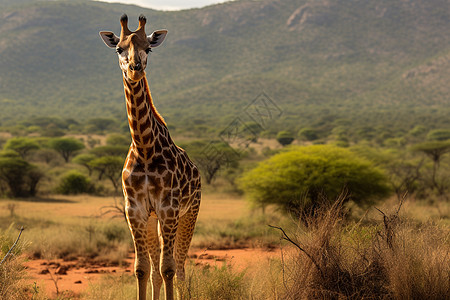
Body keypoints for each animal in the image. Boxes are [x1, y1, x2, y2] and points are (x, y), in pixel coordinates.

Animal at [101, 14, 201, 300]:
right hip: (153, 219)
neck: (144, 148)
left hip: (189, 213)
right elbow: (142, 268)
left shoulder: (169, 208)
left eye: (149, 48)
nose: (135, 68)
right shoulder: (134, 209)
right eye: (118, 48)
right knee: (157, 269)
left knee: (180, 267)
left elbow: (168, 268)